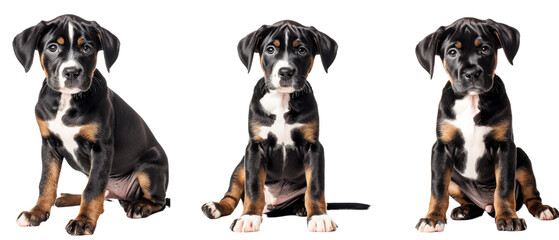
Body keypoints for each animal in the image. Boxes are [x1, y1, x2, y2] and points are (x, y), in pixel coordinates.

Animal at [13, 14, 170, 234]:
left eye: (87, 48)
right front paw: (36, 212)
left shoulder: (101, 148)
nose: (71, 72)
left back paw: (140, 206)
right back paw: (69, 198)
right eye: (52, 47)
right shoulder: (48, 145)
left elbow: (93, 188)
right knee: (102, 198)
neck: (67, 101)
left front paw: (83, 221)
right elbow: (46, 182)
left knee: (158, 200)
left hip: (149, 168)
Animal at [416, 17, 559, 232]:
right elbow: (438, 188)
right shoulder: (441, 148)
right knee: (469, 202)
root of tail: (486, 205)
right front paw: (432, 218)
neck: (472, 100)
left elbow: (504, 188)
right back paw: (465, 210)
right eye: (452, 52)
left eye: (485, 49)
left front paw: (508, 218)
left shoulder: (505, 147)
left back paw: (543, 210)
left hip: (522, 159)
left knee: (531, 195)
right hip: (455, 179)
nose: (472, 73)